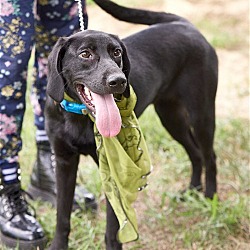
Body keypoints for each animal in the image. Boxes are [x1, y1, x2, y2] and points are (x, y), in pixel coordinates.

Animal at [46, 0, 218, 249]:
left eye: (116, 52)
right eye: (85, 54)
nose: (118, 81)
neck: (80, 116)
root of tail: (185, 25)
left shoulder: (114, 170)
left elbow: (114, 225)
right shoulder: (64, 161)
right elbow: (62, 216)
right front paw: (58, 245)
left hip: (201, 114)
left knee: (209, 156)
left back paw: (210, 198)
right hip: (171, 117)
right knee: (195, 153)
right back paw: (192, 191)